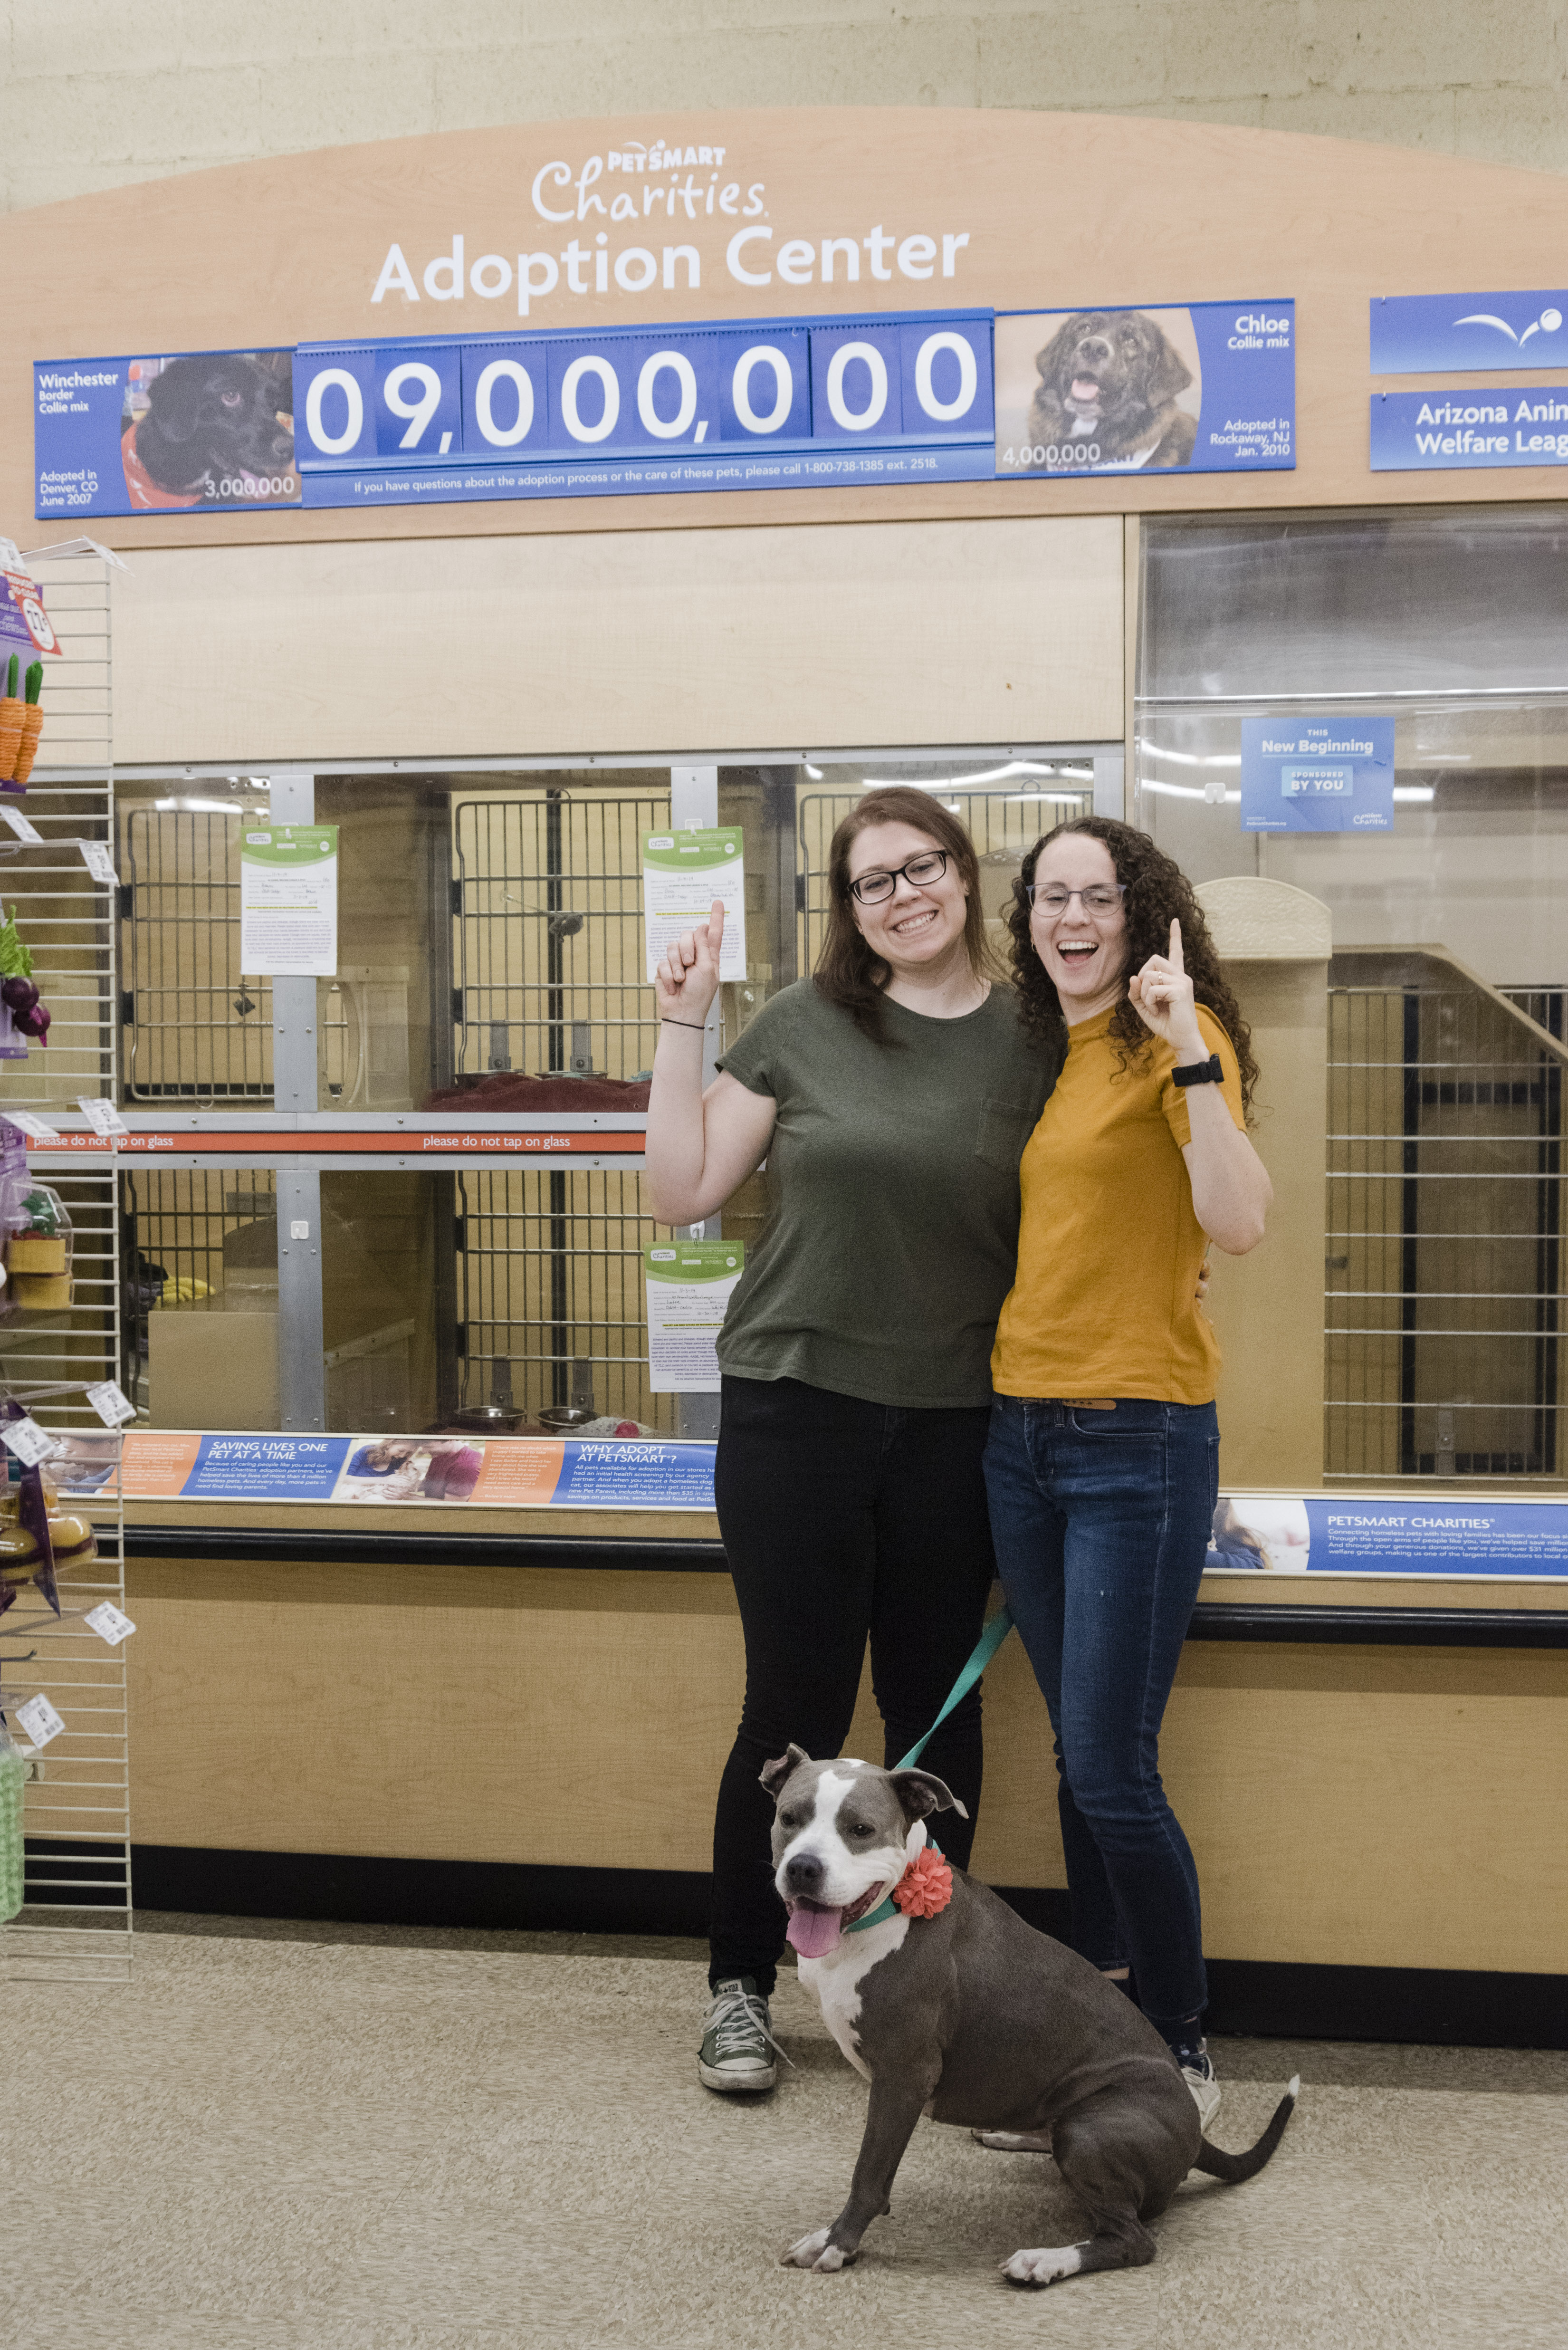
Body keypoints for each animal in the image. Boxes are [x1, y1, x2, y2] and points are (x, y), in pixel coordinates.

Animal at [761, 1748, 1298, 2274]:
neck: (883, 1914)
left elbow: (869, 2174)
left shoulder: (905, 2074)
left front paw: (836, 2243)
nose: (804, 1867)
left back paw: (1045, 2259)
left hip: (1092, 2129)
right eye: (789, 1818)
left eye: (860, 1829)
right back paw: (1018, 2134)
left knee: (1133, 2239)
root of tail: (1194, 2135)